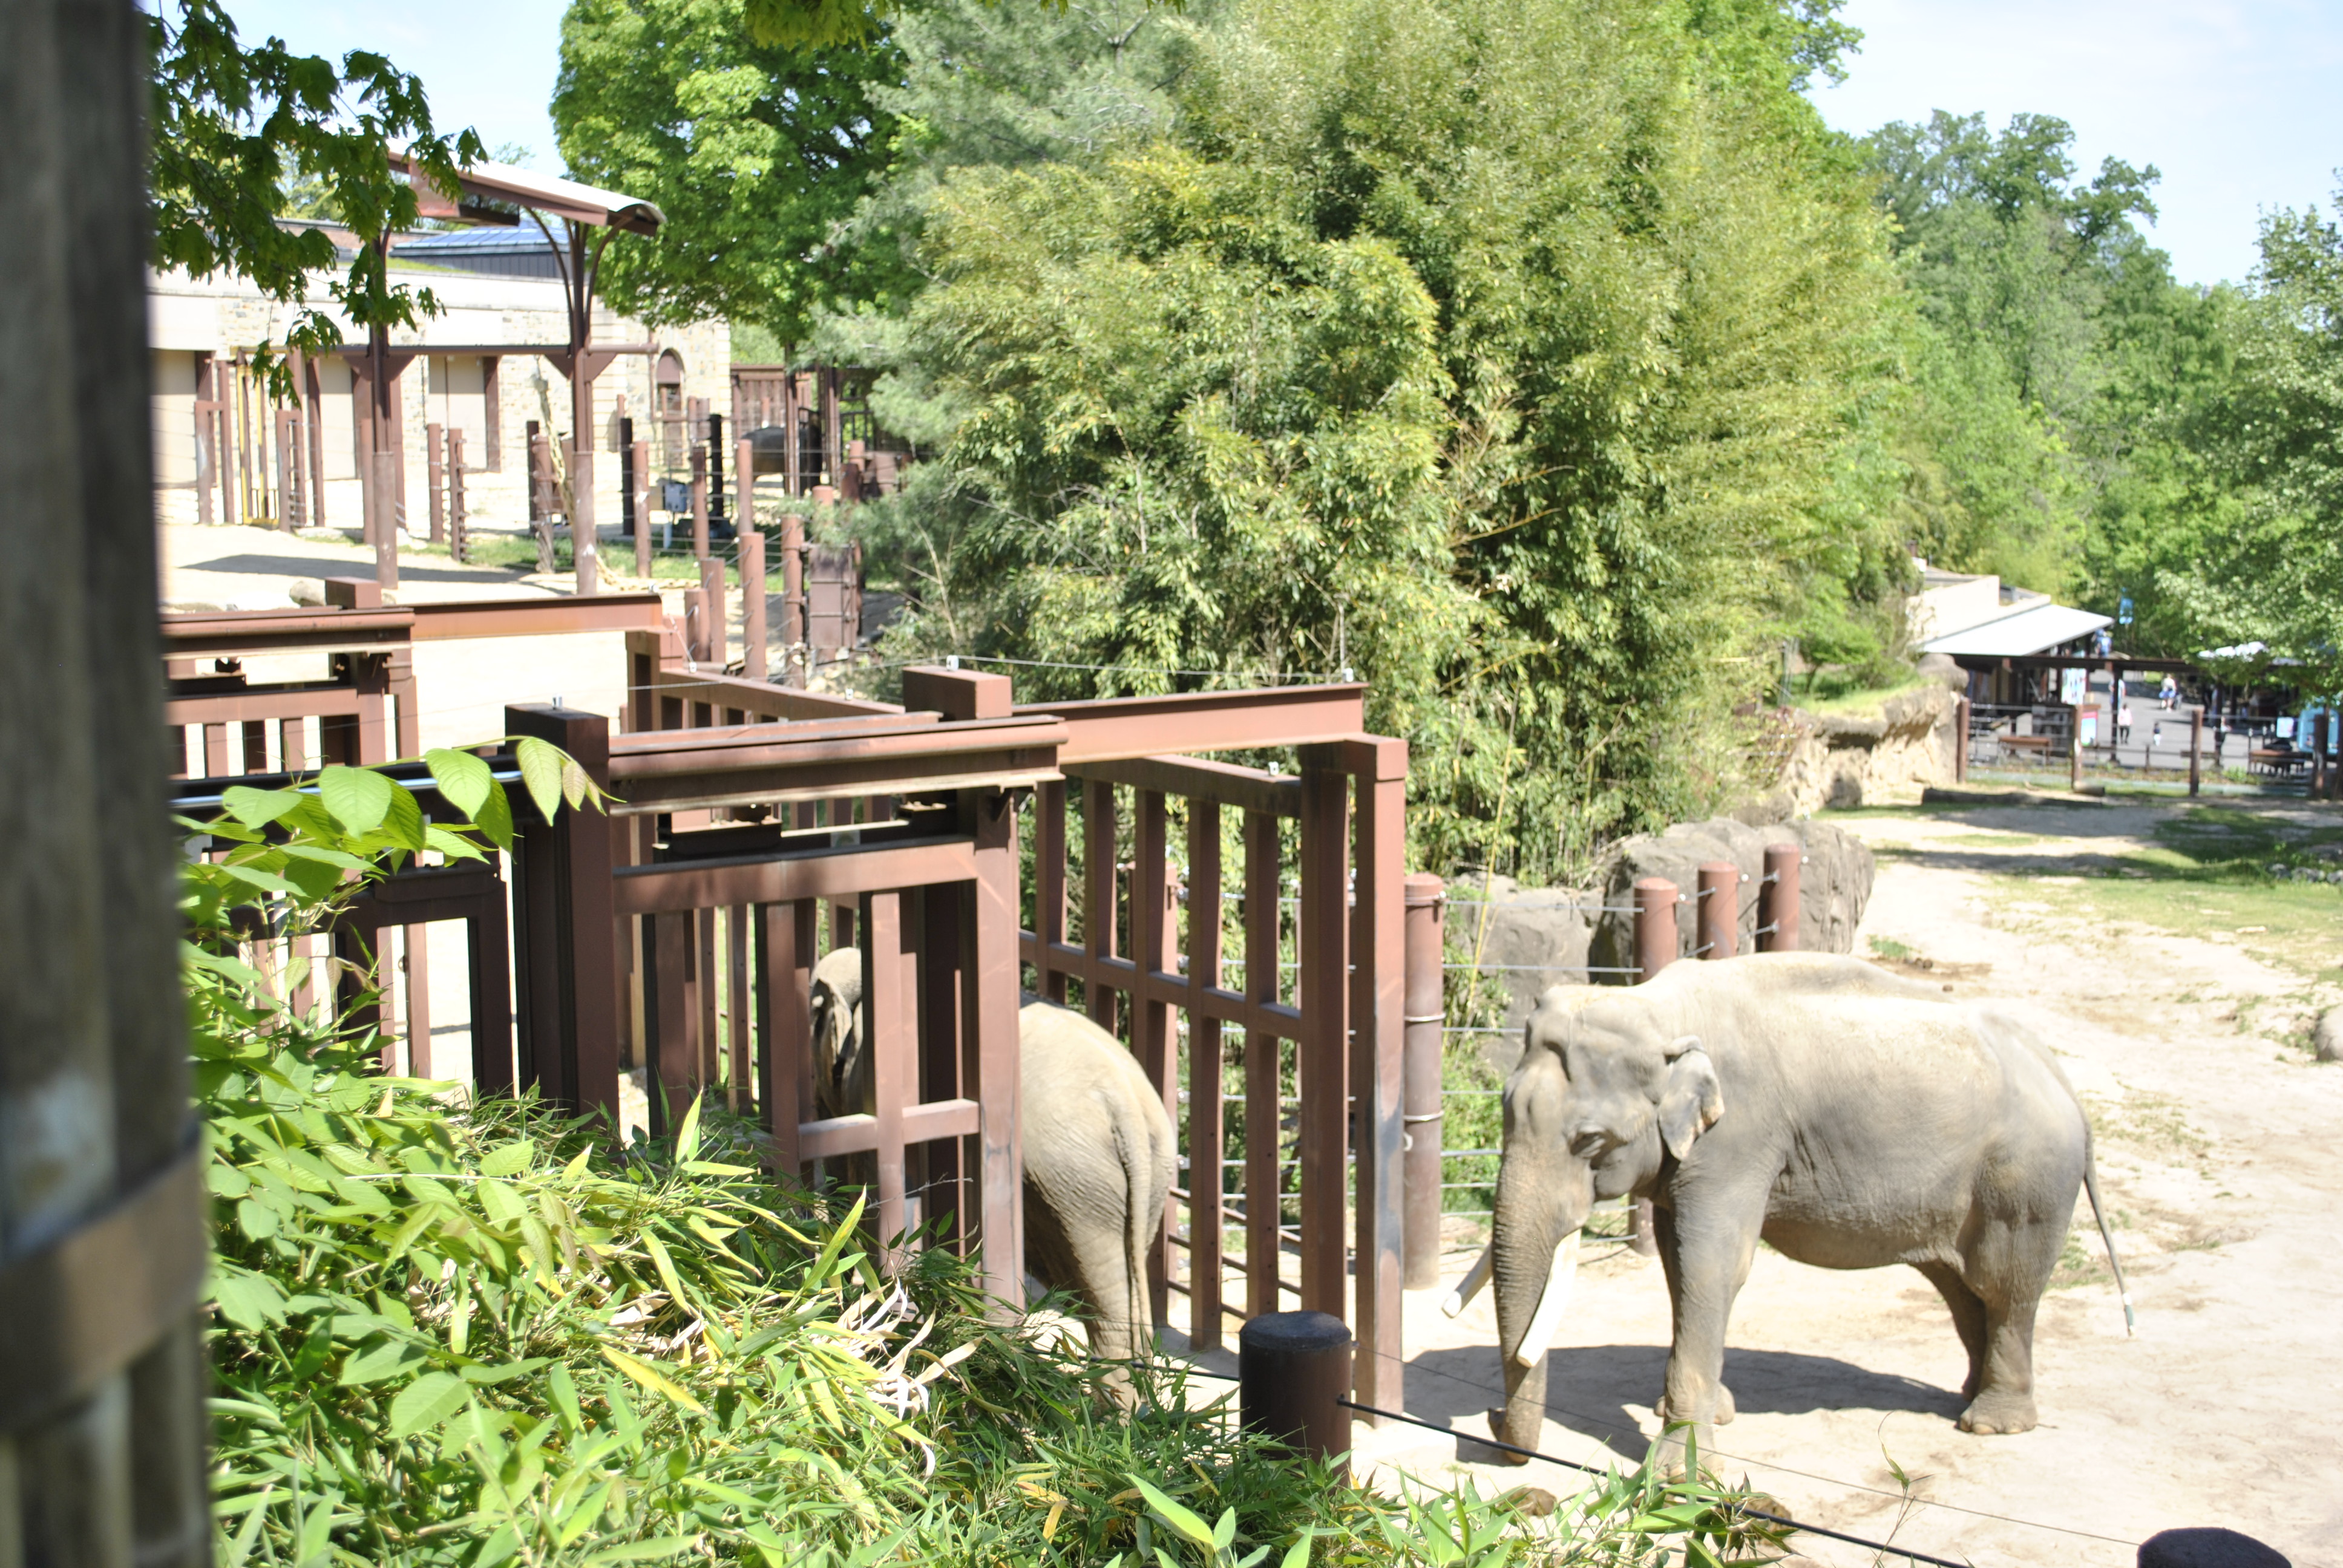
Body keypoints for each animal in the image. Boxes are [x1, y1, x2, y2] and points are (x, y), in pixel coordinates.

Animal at [1461, 951, 2128, 1468]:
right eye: (1503, 1111)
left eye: (1590, 1141)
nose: (1491, 1420)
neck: (1657, 1008)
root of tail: (2061, 1079)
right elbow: (1678, 1264)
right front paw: (1708, 1416)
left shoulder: (1739, 1139)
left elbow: (1713, 1265)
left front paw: (1679, 1474)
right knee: (1960, 1287)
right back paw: (1965, 1394)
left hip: (2024, 1179)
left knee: (2003, 1285)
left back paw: (1991, 1422)